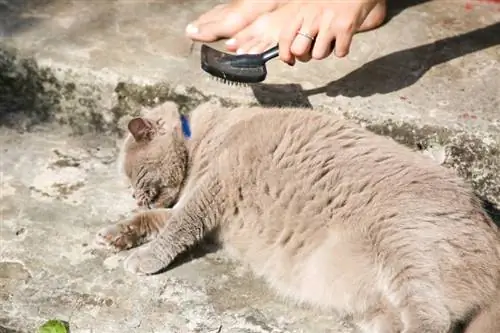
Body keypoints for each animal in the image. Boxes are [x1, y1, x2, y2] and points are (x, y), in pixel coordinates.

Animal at [95, 101, 500, 332]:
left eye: (135, 176)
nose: (132, 196)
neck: (203, 142)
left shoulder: (211, 193)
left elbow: (176, 227)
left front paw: (143, 258)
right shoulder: (209, 217)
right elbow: (158, 220)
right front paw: (119, 233)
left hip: (403, 246)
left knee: (434, 321)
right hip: (376, 304)